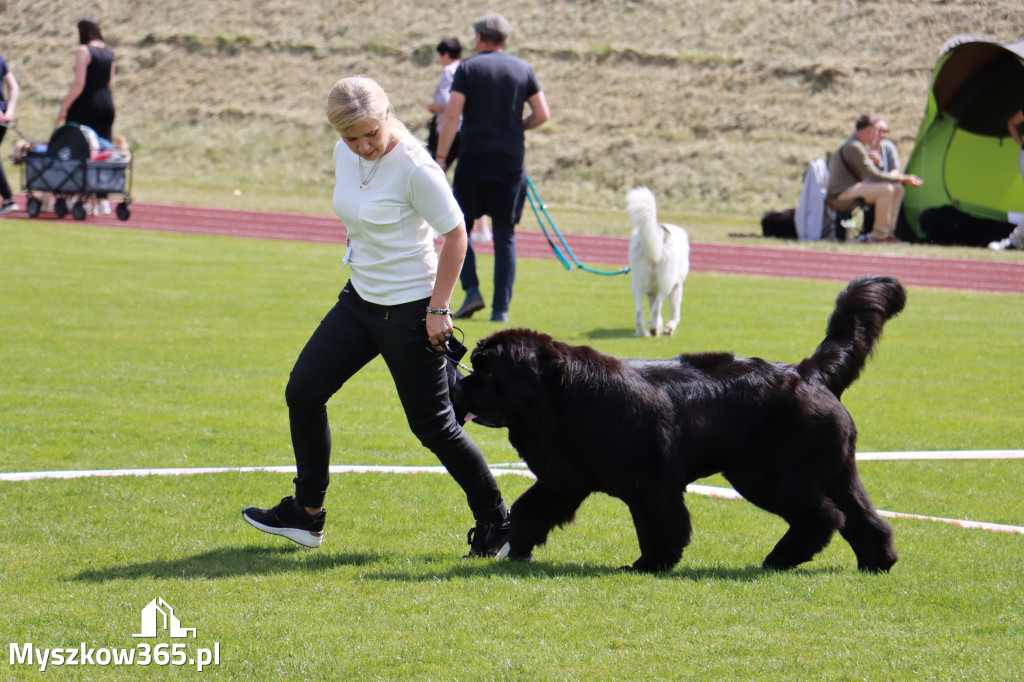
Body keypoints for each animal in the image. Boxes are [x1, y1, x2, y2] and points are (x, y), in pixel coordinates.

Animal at [454, 274, 905, 569]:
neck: (559, 398)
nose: (457, 386)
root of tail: (808, 372)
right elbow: (529, 509)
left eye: (487, 370)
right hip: (834, 470)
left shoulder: (651, 486)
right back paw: (876, 561)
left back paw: (780, 559)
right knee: (863, 516)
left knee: (825, 515)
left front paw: (650, 564)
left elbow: (661, 526)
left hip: (765, 473)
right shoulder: (564, 479)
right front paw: (515, 548)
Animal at [622, 186, 688, 333]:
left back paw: (643, 332)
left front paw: (658, 324)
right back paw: (653, 330)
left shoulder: (651, 290)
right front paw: (669, 327)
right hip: (666, 283)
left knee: (639, 310)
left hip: (637, 282)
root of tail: (659, 231)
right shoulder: (676, 285)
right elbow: (675, 311)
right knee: (658, 305)